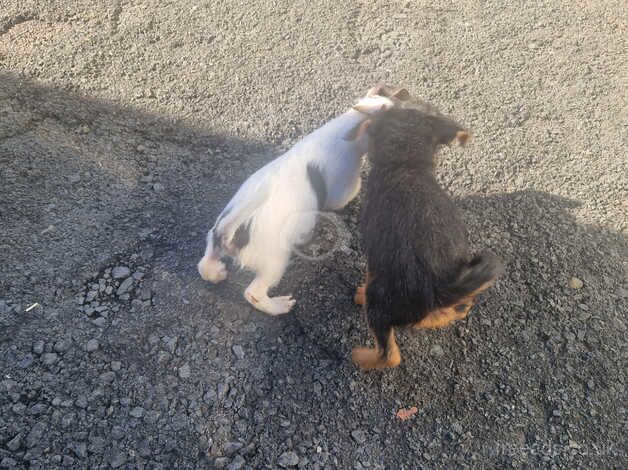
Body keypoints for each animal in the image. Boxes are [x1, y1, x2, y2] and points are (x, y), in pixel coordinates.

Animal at [199, 88, 410, 316]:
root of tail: (228, 231)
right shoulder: (342, 189)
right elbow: (350, 191)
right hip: (274, 262)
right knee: (254, 293)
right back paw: (280, 305)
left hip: (213, 239)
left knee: (204, 266)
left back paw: (217, 272)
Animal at [350, 104, 502, 370]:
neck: (408, 165)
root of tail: (440, 288)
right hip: (459, 295)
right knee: (460, 308)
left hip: (379, 303)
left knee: (389, 355)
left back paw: (360, 356)